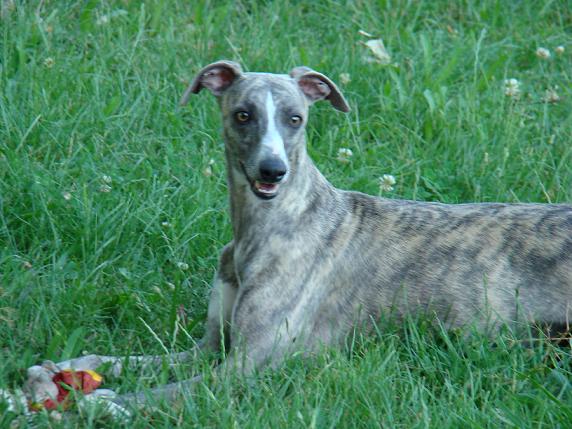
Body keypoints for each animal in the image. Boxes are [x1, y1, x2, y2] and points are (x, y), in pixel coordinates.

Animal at [24, 61, 572, 408]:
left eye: (296, 119)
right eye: (243, 114)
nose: (273, 171)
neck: (271, 224)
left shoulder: (244, 367)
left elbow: (164, 392)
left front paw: (100, 405)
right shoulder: (208, 347)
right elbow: (126, 360)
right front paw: (62, 367)